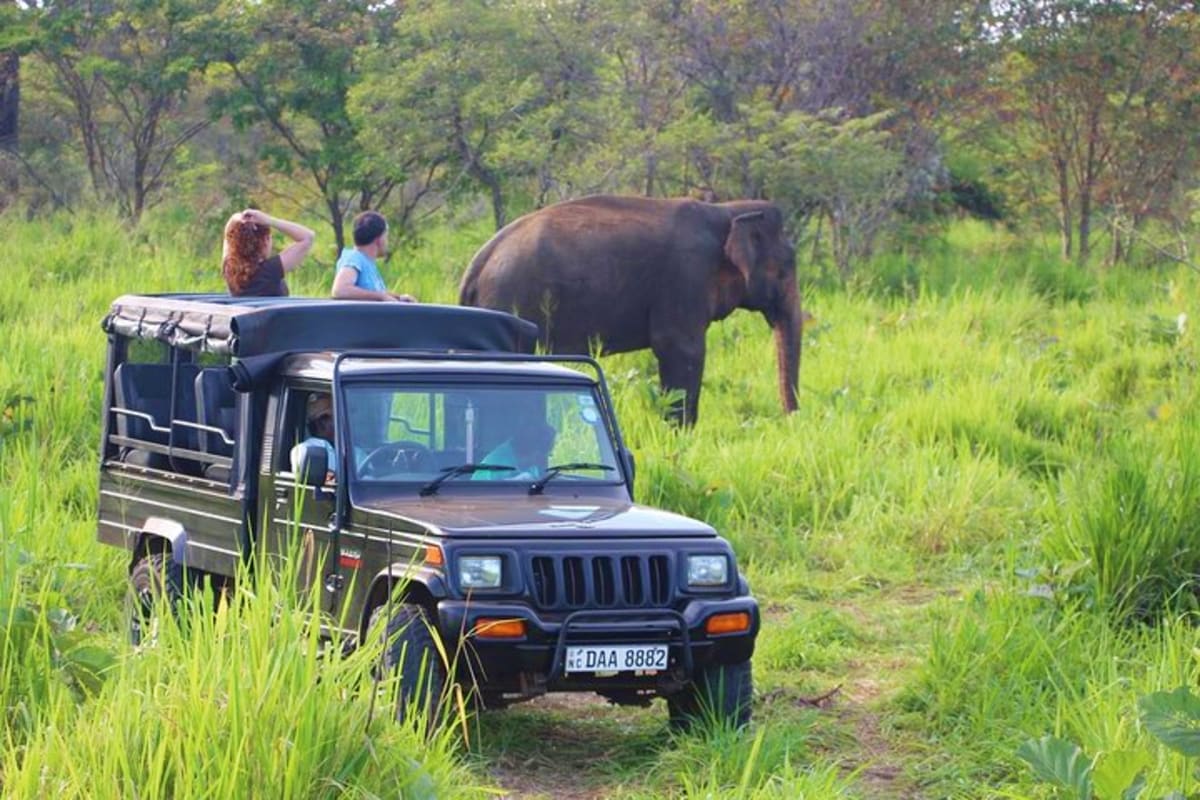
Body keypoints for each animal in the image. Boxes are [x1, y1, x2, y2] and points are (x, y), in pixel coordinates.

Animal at [458, 195, 802, 425]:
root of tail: (477, 264)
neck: (727, 210)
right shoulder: (685, 277)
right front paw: (681, 433)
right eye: (785, 270)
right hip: (513, 302)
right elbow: (681, 350)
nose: (790, 422)